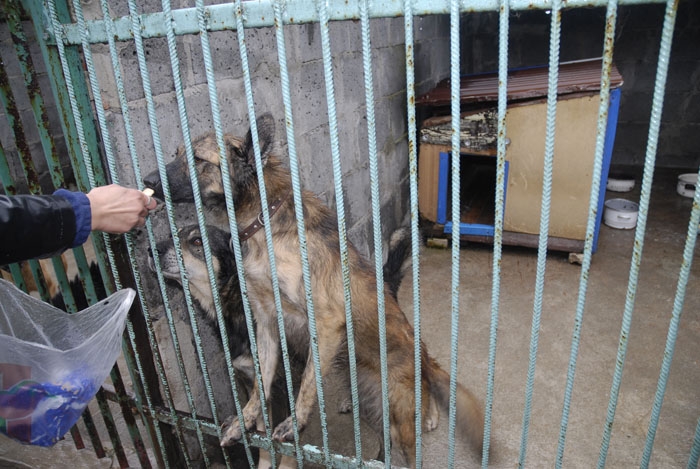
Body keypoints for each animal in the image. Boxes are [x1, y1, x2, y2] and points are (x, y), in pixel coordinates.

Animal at [174, 114, 483, 467]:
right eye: (175, 154)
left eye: (198, 159)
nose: (151, 181)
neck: (265, 225)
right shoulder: (266, 325)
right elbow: (259, 390)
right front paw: (244, 421)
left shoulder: (325, 323)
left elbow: (306, 391)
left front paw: (294, 423)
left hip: (398, 407)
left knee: (422, 397)